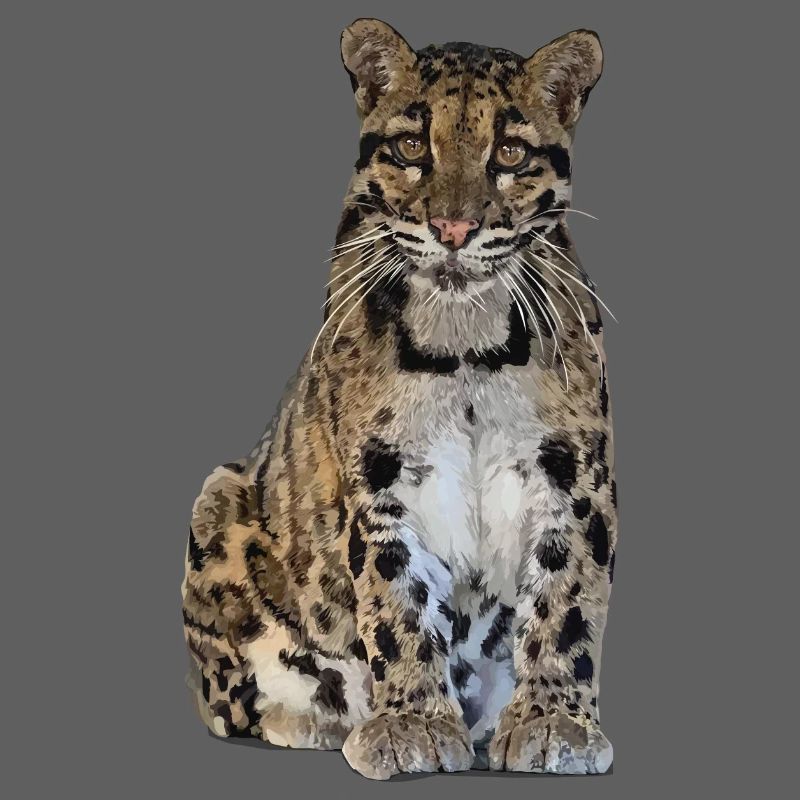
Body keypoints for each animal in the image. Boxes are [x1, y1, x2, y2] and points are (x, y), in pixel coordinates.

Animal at [181, 18, 616, 779]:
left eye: (509, 152)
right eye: (414, 146)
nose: (453, 230)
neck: (466, 343)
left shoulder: (574, 475)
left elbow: (567, 600)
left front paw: (553, 722)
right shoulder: (380, 479)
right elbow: (397, 601)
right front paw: (412, 723)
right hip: (217, 501)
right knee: (234, 701)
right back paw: (323, 719)